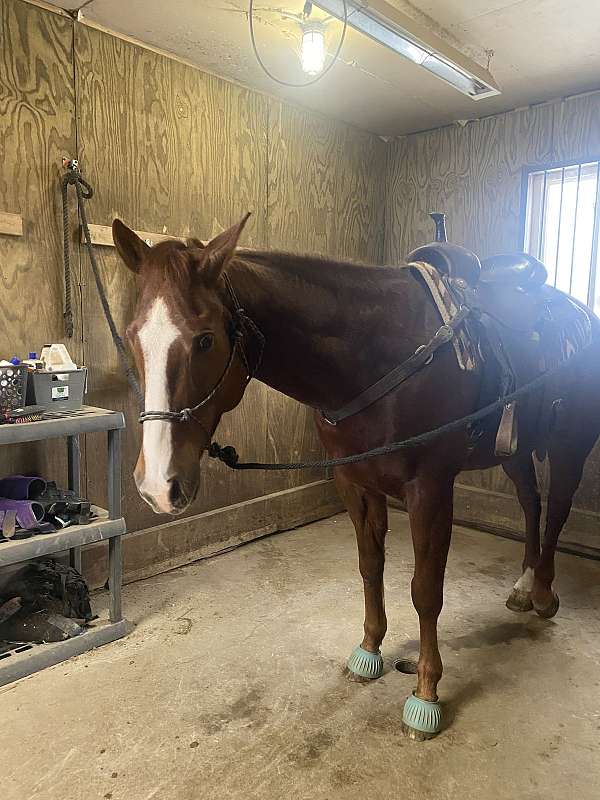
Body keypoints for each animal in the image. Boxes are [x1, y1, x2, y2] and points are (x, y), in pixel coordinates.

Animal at [112, 213, 600, 739]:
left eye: (204, 339)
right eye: (132, 334)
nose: (157, 486)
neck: (379, 355)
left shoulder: (430, 489)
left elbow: (426, 591)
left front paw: (425, 693)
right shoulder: (355, 483)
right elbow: (370, 567)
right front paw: (369, 650)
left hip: (569, 445)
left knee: (557, 510)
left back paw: (544, 594)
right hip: (516, 449)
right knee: (531, 502)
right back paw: (524, 586)